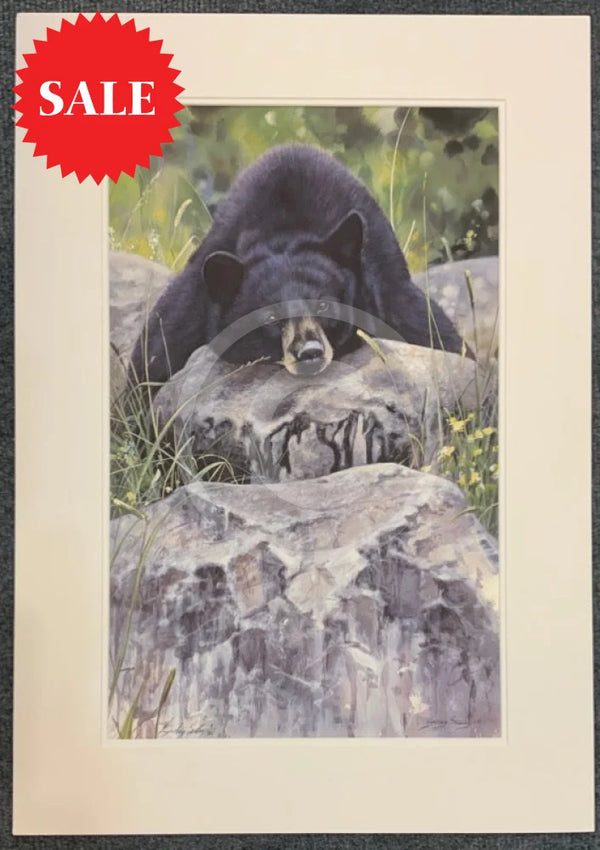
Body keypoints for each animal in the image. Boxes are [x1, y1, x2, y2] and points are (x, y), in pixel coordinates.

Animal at [130, 143, 469, 387]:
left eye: (325, 306)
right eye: (269, 317)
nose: (310, 353)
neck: (285, 231)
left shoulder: (394, 296)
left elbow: (438, 336)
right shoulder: (186, 316)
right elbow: (152, 362)